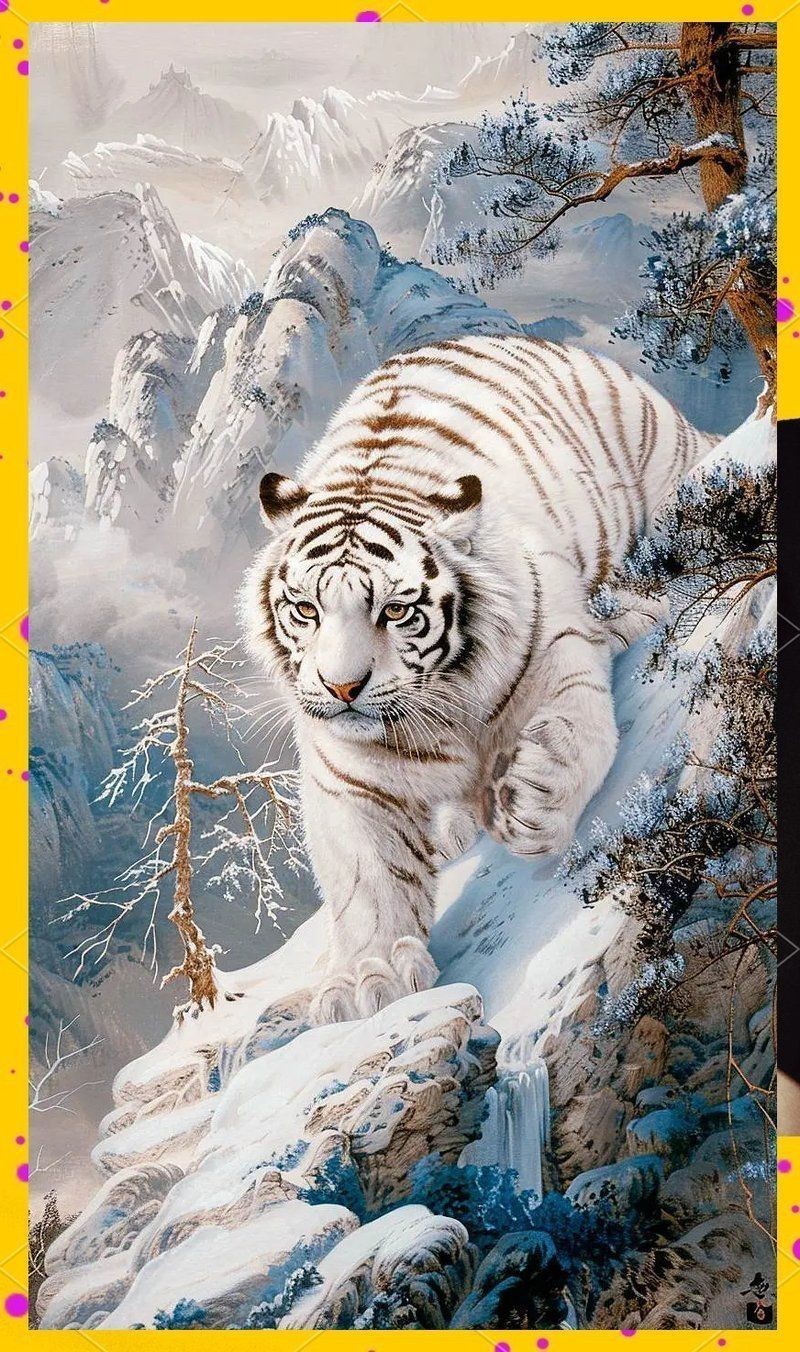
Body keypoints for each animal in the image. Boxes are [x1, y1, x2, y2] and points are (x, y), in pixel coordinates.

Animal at [242, 335, 715, 1024]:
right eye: (306, 609)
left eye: (395, 611)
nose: (341, 688)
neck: (434, 707)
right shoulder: (347, 774)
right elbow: (365, 876)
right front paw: (366, 979)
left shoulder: (554, 647)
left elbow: (578, 730)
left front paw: (535, 799)